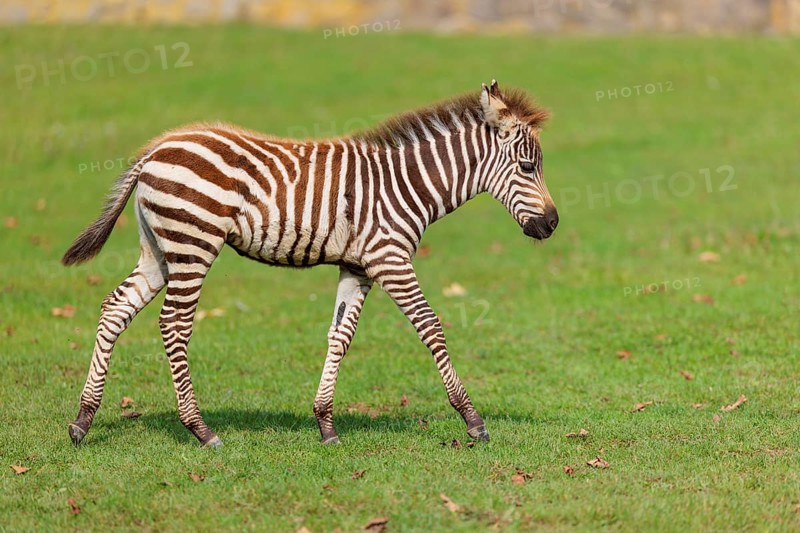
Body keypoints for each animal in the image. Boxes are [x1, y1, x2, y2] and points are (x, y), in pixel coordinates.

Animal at [62, 80, 558, 448]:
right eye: (528, 166)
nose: (553, 224)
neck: (406, 184)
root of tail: (155, 150)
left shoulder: (359, 267)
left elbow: (340, 336)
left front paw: (325, 424)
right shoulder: (390, 258)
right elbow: (430, 325)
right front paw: (473, 420)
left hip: (160, 250)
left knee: (115, 308)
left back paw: (83, 421)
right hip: (194, 244)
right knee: (174, 325)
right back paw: (201, 430)